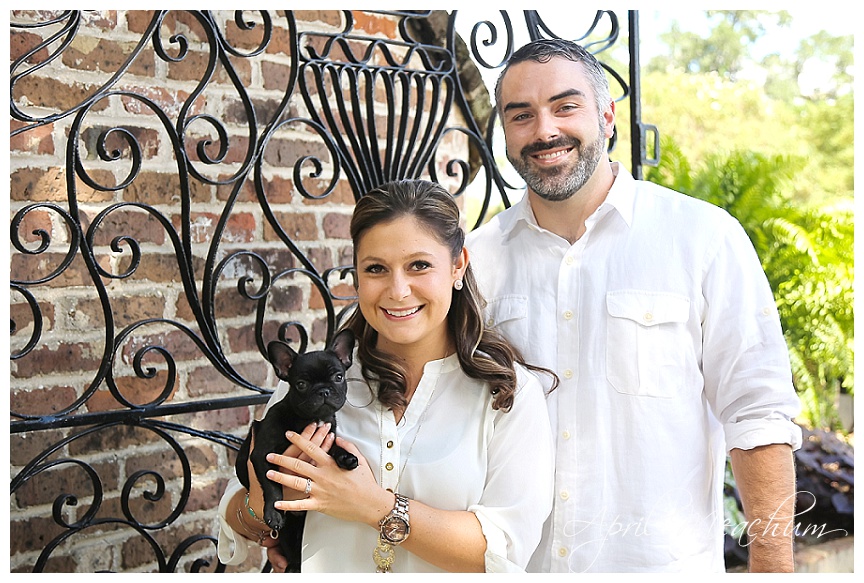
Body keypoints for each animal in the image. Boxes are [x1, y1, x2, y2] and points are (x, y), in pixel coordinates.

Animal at [233, 330, 358, 572]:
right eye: (301, 384)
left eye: (338, 377)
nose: (323, 390)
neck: (309, 419)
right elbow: (272, 486)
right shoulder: (263, 455)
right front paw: (273, 513)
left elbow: (334, 447)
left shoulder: (326, 437)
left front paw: (346, 457)